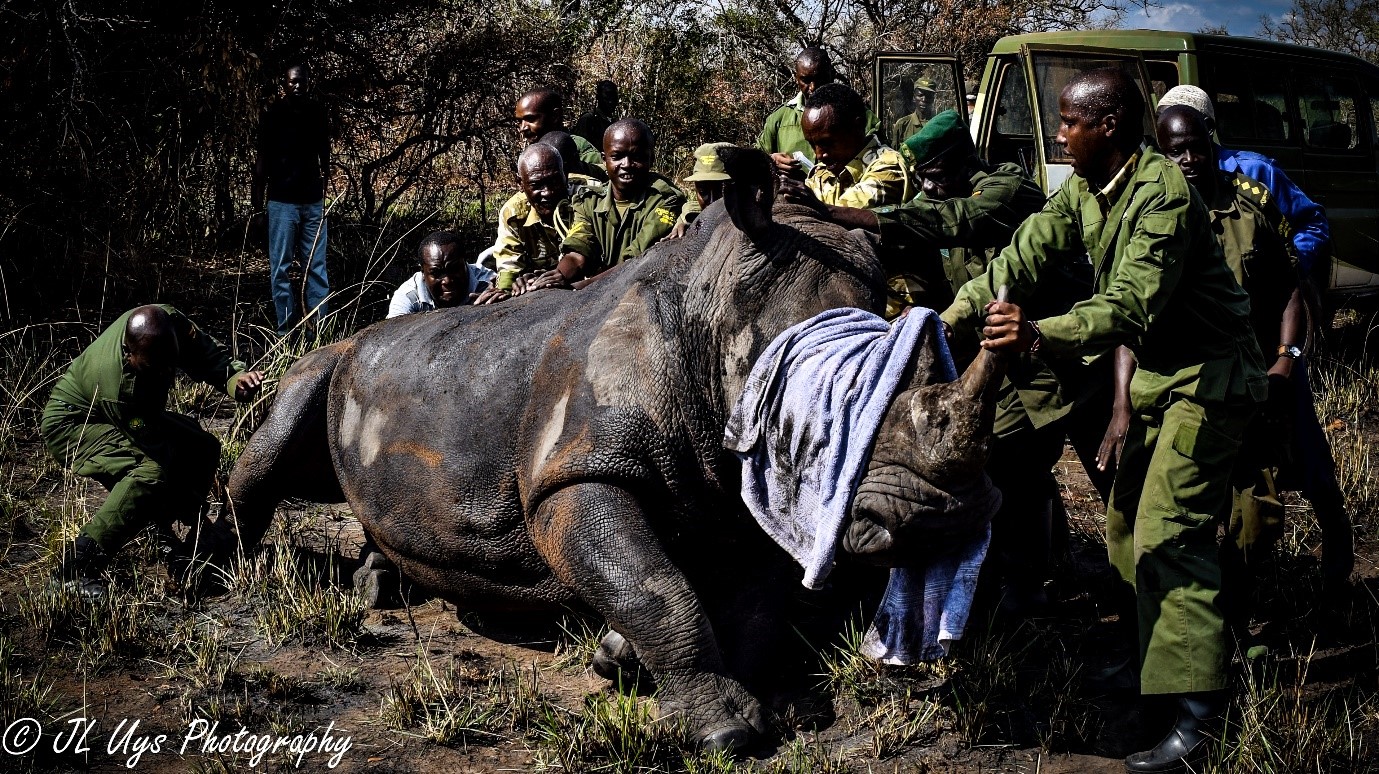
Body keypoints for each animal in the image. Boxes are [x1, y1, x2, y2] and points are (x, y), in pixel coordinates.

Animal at [226, 147, 1003, 750]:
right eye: (825, 413)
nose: (941, 519)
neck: (715, 300)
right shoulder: (573, 474)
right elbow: (655, 586)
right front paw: (724, 731)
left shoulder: (748, 481)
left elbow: (748, 599)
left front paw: (622, 660)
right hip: (335, 357)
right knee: (277, 440)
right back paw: (224, 568)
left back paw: (379, 583)